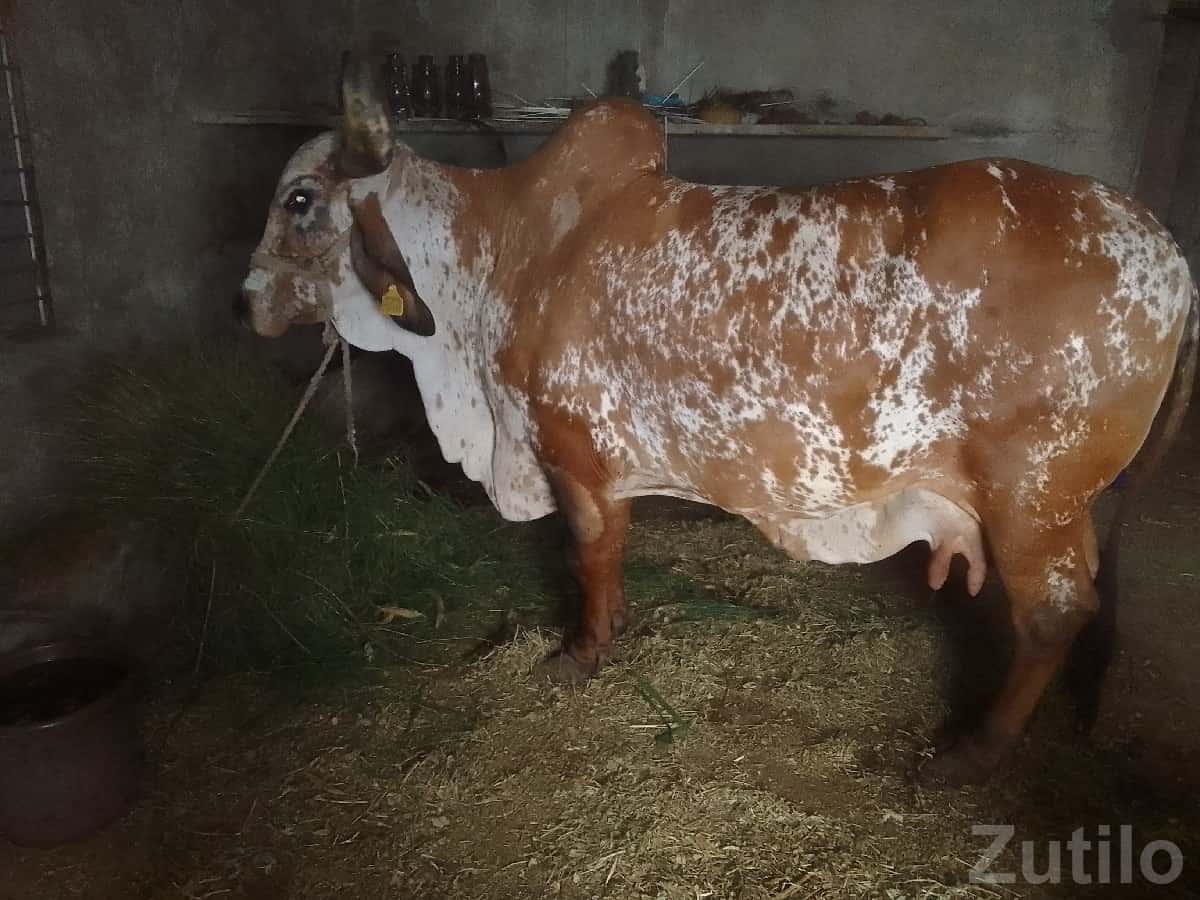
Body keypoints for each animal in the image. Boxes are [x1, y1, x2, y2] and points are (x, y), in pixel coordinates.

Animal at [240, 63, 1197, 785]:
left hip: (1034, 499)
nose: (248, 299)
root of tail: (1168, 251)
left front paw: (581, 652)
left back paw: (974, 753)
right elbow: (615, 548)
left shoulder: (572, 450)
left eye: (300, 200)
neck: (507, 256)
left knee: (1054, 614)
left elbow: (589, 552)